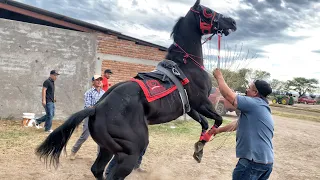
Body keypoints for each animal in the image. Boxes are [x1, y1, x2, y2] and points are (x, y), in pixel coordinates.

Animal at [35, 0, 236, 179]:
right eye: (208, 11)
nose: (232, 22)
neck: (186, 65)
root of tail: (96, 108)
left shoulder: (190, 107)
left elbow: (205, 123)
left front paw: (199, 149)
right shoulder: (201, 102)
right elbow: (217, 120)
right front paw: (202, 145)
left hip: (108, 149)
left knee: (97, 170)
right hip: (130, 152)